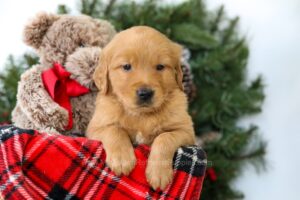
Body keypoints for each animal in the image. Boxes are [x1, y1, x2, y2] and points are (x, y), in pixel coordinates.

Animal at [85, 25, 196, 189]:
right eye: (126, 66)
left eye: (160, 67)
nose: (145, 93)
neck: (141, 115)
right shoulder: (95, 127)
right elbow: (115, 130)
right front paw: (122, 160)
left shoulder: (186, 132)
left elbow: (164, 137)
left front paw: (158, 174)